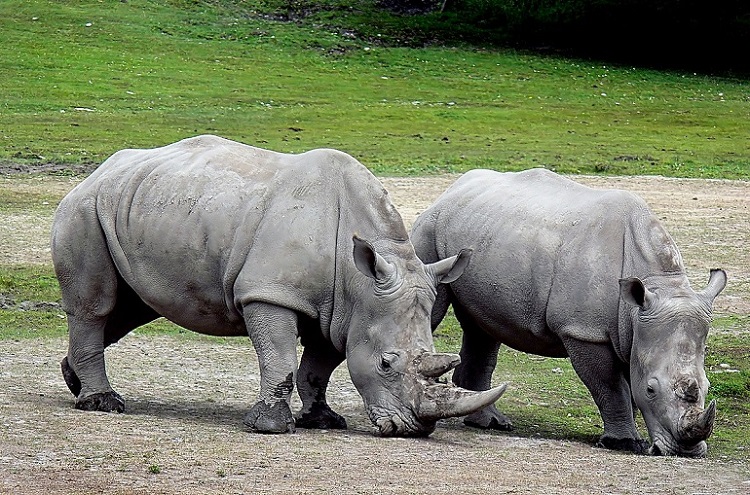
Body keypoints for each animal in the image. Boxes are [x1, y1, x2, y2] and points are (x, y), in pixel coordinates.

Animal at [51, 136, 506, 438]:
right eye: (385, 365)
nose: (411, 429)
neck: (359, 278)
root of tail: (100, 170)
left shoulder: (342, 310)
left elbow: (321, 365)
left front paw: (322, 420)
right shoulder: (270, 293)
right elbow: (281, 357)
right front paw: (271, 426)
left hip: (137, 206)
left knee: (130, 308)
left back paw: (74, 381)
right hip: (85, 209)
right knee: (97, 305)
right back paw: (103, 404)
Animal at [412, 169, 728, 456]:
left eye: (708, 386)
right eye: (652, 389)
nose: (686, 451)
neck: (654, 288)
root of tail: (451, 190)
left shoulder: (635, 330)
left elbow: (627, 383)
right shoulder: (584, 332)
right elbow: (611, 387)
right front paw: (625, 443)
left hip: (482, 235)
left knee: (483, 329)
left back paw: (491, 424)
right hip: (430, 231)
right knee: (436, 309)